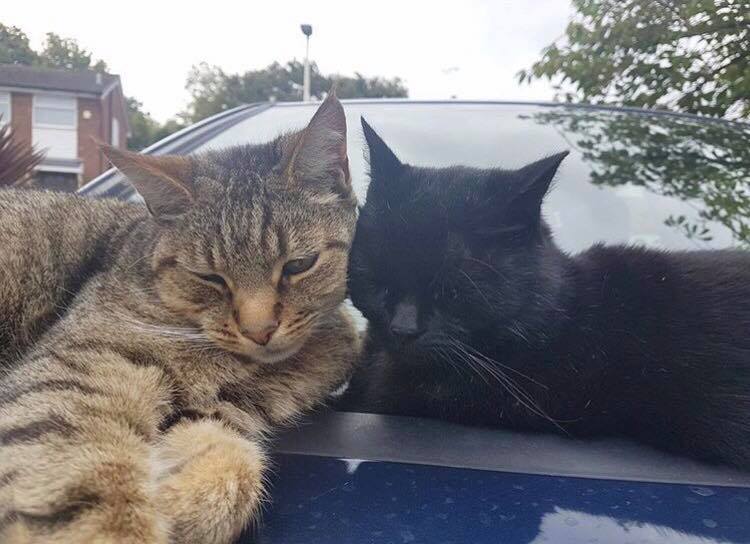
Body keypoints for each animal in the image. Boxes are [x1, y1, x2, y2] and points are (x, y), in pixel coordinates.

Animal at [0, 95, 362, 540]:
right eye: (210, 277)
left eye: (299, 265)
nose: (259, 331)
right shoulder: (72, 377)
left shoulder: (224, 409)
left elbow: (234, 467)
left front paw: (177, 502)